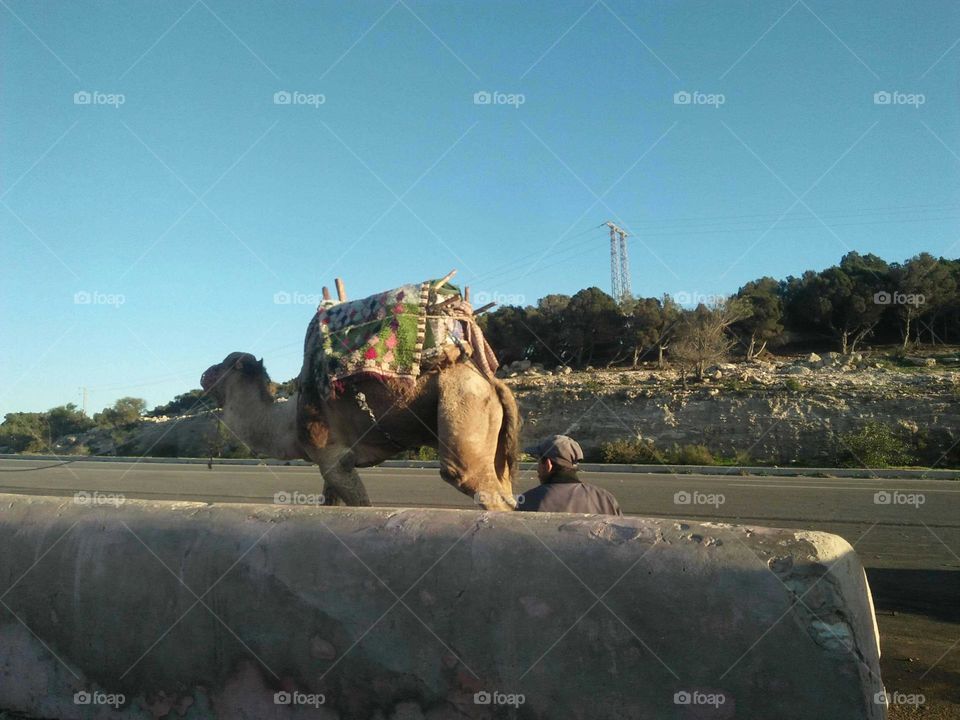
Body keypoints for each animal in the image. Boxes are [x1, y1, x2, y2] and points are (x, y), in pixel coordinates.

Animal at [198, 290, 520, 510]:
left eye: (220, 366)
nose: (203, 375)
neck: (285, 422)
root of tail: (494, 384)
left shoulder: (332, 458)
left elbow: (361, 505)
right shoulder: (330, 465)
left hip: (463, 405)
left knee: (472, 481)